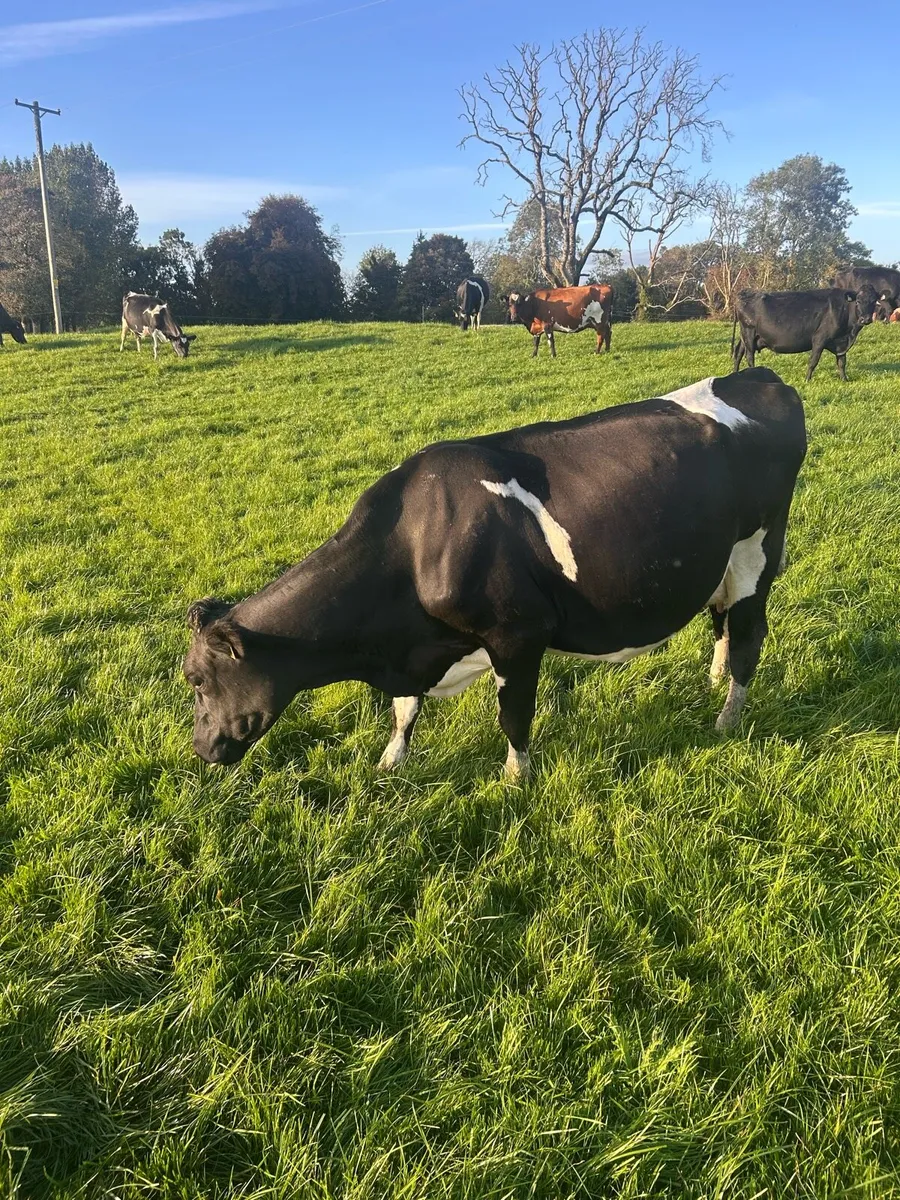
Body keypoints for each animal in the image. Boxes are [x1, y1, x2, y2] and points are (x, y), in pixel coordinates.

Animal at [184, 367, 806, 781]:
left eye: (195, 681)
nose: (200, 749)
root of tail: (760, 375)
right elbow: (404, 710)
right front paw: (390, 762)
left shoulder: (518, 633)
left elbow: (514, 715)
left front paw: (514, 779)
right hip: (721, 565)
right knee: (721, 621)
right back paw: (712, 682)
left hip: (758, 551)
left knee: (749, 637)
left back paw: (727, 718)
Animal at [732, 286, 878, 381]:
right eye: (858, 301)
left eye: (874, 302)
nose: (865, 319)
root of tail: (743, 293)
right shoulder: (819, 338)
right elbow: (813, 361)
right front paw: (807, 379)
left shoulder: (841, 342)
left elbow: (842, 362)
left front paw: (844, 380)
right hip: (749, 331)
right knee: (749, 356)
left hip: (746, 335)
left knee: (738, 352)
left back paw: (735, 373)